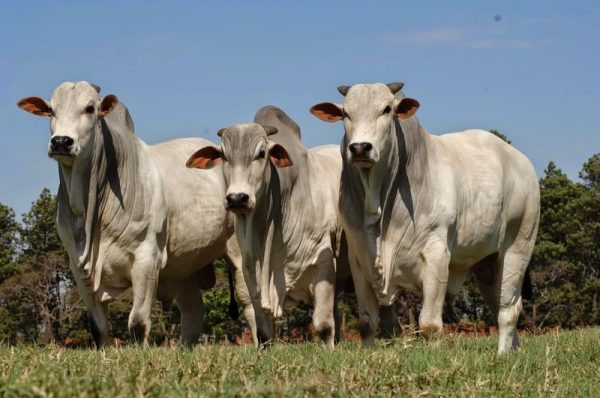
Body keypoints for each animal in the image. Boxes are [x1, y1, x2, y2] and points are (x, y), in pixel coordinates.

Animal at [18, 81, 239, 346]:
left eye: (90, 108)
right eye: (51, 110)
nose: (61, 141)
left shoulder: (147, 258)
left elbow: (138, 323)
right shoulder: (78, 267)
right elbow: (98, 327)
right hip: (186, 265)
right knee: (193, 312)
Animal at [188, 105, 346, 348]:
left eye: (261, 153)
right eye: (223, 155)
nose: (237, 198)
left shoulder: (324, 262)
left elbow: (323, 326)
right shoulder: (250, 274)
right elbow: (262, 332)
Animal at [310, 82, 540, 352]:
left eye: (387, 109)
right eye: (345, 113)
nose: (359, 148)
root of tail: (520, 160)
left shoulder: (436, 256)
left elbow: (429, 324)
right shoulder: (359, 260)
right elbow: (367, 322)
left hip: (518, 247)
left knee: (508, 310)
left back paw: (502, 353)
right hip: (487, 263)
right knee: (500, 304)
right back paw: (514, 350)